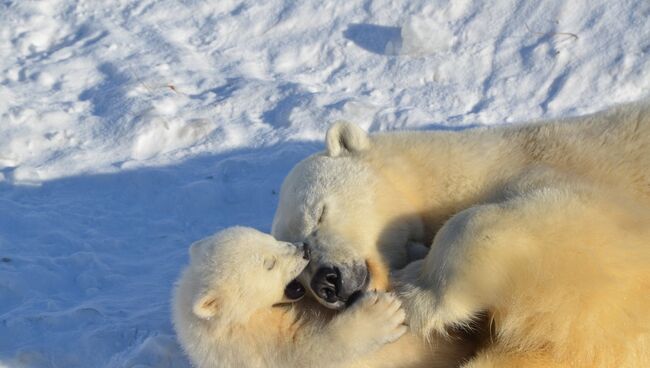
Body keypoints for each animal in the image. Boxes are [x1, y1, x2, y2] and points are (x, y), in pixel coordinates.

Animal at [170, 229, 468, 366]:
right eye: (269, 264)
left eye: (268, 237)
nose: (304, 249)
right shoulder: (261, 350)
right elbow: (314, 351)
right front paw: (383, 313)